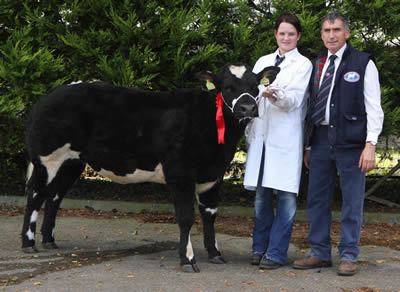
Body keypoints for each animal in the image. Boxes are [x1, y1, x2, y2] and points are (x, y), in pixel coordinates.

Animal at [20, 63, 280, 272]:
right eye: (227, 87)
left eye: (256, 86)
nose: (247, 108)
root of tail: (55, 90)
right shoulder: (180, 173)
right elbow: (186, 217)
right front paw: (188, 260)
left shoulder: (213, 176)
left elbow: (210, 215)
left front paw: (215, 254)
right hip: (47, 159)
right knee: (36, 194)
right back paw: (28, 243)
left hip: (72, 161)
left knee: (54, 195)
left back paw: (49, 240)